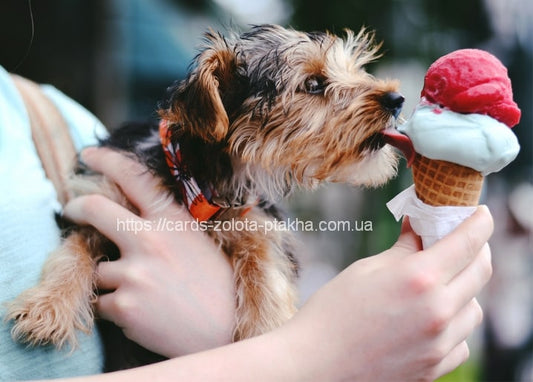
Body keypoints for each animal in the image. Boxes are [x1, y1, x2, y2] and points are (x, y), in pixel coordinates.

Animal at [5, 22, 404, 362]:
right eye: (315, 84)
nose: (397, 99)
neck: (199, 177)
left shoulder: (258, 221)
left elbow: (265, 266)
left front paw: (266, 328)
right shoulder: (98, 196)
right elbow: (74, 249)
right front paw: (48, 306)